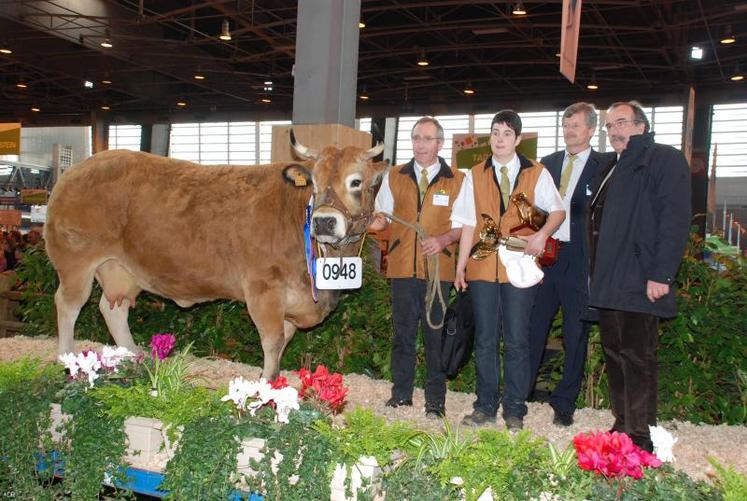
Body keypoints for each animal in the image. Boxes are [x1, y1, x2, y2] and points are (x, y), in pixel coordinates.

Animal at [45, 135, 386, 376]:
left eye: (356, 182)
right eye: (313, 182)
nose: (323, 221)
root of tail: (77, 169)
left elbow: (283, 343)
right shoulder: (263, 289)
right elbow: (273, 342)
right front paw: (266, 389)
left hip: (123, 270)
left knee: (112, 309)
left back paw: (137, 358)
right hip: (75, 262)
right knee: (68, 305)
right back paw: (66, 359)